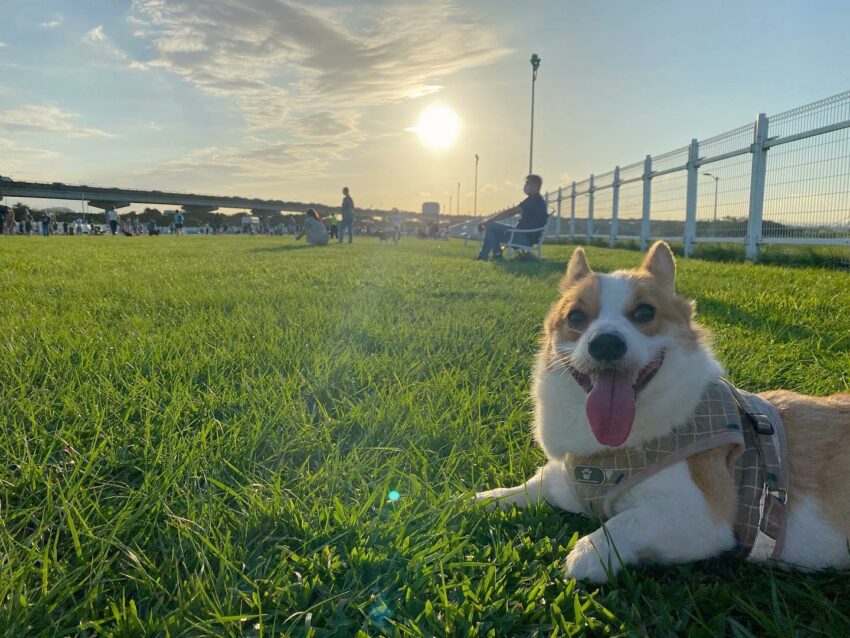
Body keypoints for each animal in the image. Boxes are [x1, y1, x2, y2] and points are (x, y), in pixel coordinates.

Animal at [476, 241, 848, 584]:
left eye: (644, 313)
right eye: (576, 317)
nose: (606, 343)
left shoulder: (700, 520)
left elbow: (625, 520)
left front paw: (589, 551)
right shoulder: (566, 482)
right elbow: (530, 486)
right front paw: (481, 499)